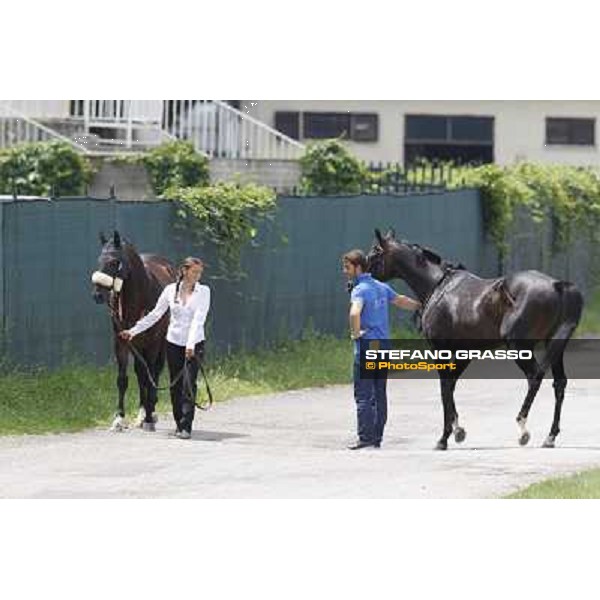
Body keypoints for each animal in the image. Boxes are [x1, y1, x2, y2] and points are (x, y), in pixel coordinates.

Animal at [91, 230, 176, 432]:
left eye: (115, 262)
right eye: (99, 260)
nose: (97, 294)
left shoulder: (152, 343)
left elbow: (151, 375)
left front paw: (149, 416)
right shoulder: (121, 342)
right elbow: (123, 379)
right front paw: (119, 419)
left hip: (158, 343)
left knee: (154, 372)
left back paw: (150, 412)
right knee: (141, 373)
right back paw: (142, 413)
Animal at [368, 230, 584, 450]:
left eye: (375, 253)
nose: (359, 280)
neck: (439, 287)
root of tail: (557, 285)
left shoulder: (440, 350)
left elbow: (444, 388)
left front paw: (444, 438)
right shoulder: (464, 353)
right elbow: (450, 385)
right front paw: (458, 431)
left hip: (520, 347)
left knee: (534, 377)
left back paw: (522, 428)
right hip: (553, 345)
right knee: (559, 384)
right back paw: (550, 437)